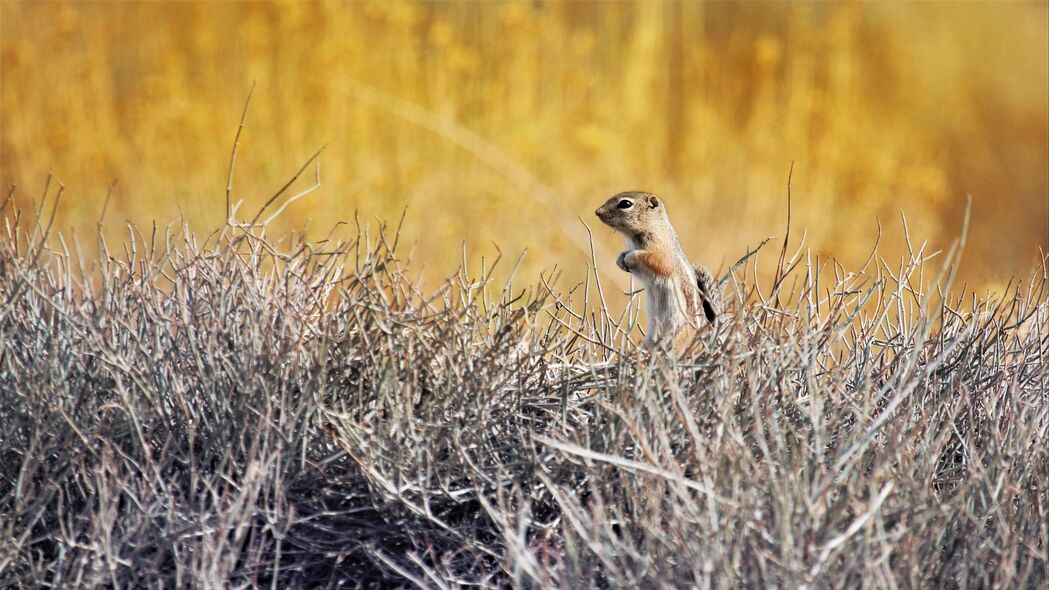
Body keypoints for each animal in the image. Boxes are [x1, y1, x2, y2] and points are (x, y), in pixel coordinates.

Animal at [600, 187, 721, 344]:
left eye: (625, 204)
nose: (598, 212)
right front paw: (621, 259)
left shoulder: (662, 253)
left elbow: (657, 262)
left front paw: (630, 257)